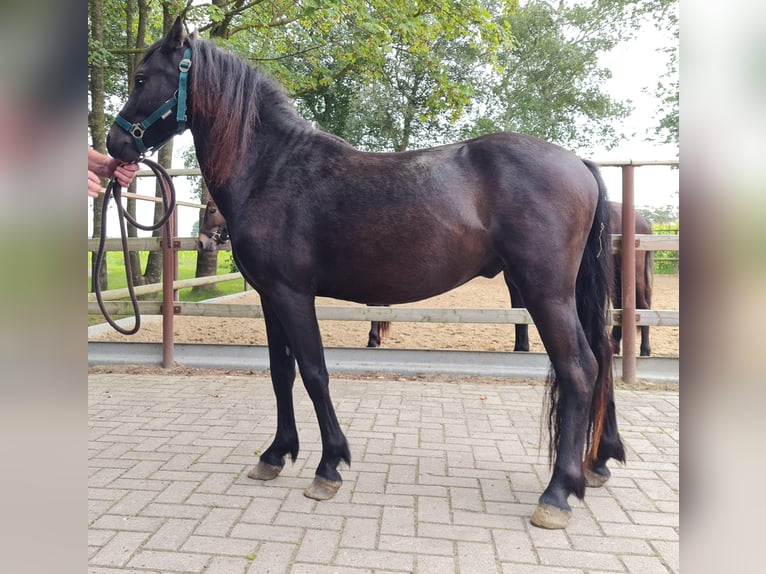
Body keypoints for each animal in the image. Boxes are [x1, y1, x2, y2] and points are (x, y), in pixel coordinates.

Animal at [108, 18, 624, 532]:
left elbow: (314, 372)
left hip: (546, 294)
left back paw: (557, 493)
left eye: (141, 78)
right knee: (601, 360)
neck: (271, 170)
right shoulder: (270, 297)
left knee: (580, 369)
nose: (116, 144)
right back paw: (596, 463)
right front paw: (275, 455)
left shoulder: (293, 295)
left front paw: (328, 466)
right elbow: (280, 371)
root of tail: (578, 163)